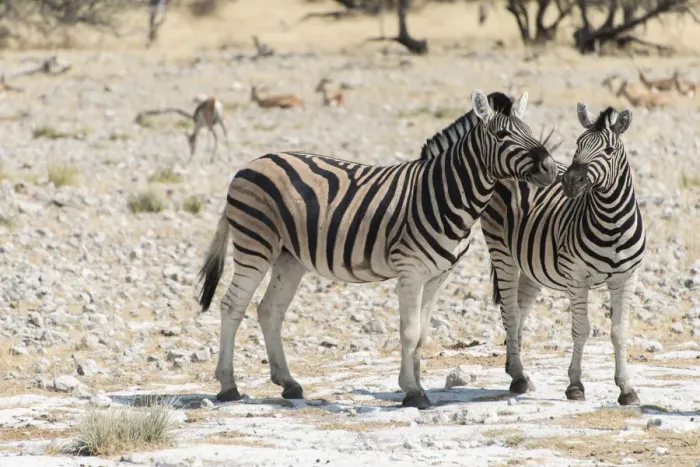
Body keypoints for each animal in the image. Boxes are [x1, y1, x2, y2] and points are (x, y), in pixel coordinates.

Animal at [197, 89, 558, 409]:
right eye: (501, 134)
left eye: (529, 131)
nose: (550, 168)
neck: (444, 192)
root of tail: (251, 163)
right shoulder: (411, 272)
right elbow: (409, 331)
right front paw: (413, 392)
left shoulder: (437, 276)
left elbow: (422, 333)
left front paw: (415, 384)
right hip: (255, 245)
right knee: (232, 305)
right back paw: (228, 385)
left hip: (290, 258)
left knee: (269, 310)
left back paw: (289, 383)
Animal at [481, 102, 646, 406]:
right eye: (578, 144)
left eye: (609, 150)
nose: (569, 181)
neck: (612, 221)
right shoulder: (577, 278)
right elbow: (582, 329)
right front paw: (575, 385)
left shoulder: (627, 277)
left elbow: (619, 332)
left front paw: (626, 388)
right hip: (501, 251)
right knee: (510, 310)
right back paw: (518, 377)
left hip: (531, 263)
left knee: (521, 308)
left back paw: (514, 367)